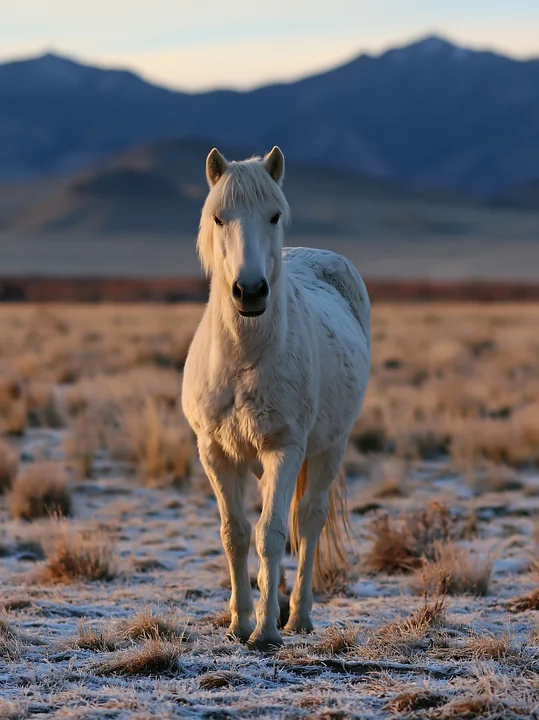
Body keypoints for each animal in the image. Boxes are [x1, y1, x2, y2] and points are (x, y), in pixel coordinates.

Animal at [181, 146, 370, 651]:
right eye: (219, 217)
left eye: (274, 215)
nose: (249, 291)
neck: (245, 358)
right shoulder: (215, 452)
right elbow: (236, 534)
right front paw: (239, 622)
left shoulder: (285, 448)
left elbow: (271, 533)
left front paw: (265, 631)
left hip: (329, 448)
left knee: (307, 520)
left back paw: (298, 615)